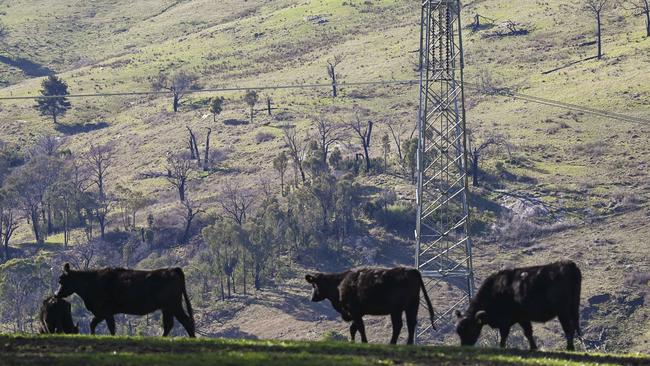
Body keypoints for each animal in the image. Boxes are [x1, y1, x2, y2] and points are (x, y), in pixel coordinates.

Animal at [55, 264, 195, 338]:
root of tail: (172, 269)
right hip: (167, 308)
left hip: (174, 305)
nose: (56, 294)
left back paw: (192, 338)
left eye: (61, 280)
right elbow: (93, 323)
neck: (90, 282)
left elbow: (109, 326)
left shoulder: (105, 312)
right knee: (169, 324)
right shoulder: (102, 313)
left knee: (186, 321)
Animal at [304, 268, 436, 344]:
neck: (339, 284)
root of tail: (412, 270)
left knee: (398, 325)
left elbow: (360, 327)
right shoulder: (358, 312)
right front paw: (352, 342)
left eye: (315, 284)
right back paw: (408, 344)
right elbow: (353, 328)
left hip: (397, 309)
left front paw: (364, 342)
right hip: (412, 306)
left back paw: (392, 343)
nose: (312, 298)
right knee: (411, 324)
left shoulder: (354, 311)